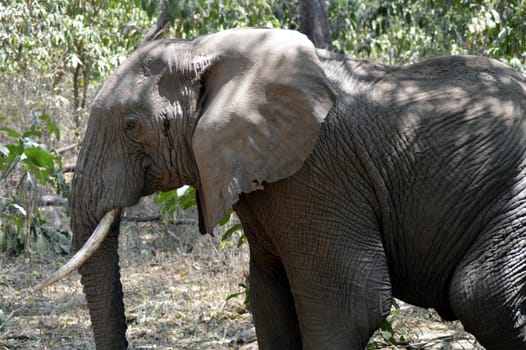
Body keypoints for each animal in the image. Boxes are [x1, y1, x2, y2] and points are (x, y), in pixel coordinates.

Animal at [39, 28, 526, 348]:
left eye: (131, 125)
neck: (205, 49)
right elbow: (267, 296)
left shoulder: (319, 170)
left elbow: (350, 303)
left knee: (482, 294)